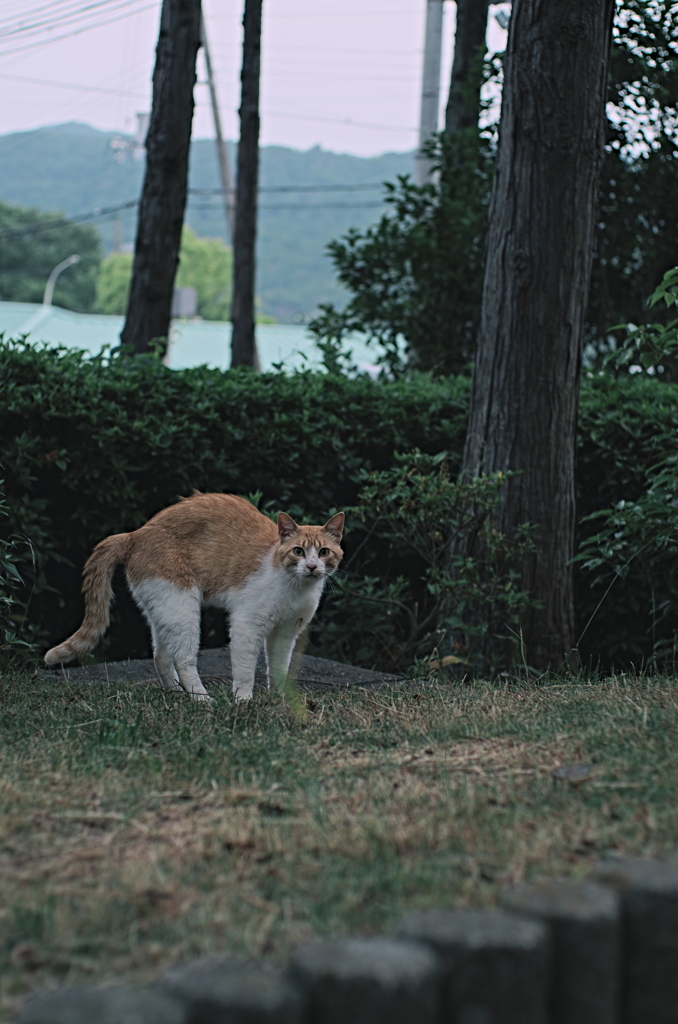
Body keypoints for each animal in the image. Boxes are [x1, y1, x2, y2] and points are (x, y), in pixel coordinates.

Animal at [43, 491, 346, 700]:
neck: (295, 588)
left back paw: (178, 695)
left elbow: (279, 667)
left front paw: (279, 698)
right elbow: (245, 668)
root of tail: (135, 534)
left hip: (165, 610)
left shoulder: (285, 633)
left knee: (161, 656)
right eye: (298, 551)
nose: (311, 566)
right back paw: (201, 699)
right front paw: (244, 700)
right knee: (184, 659)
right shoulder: (246, 625)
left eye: (323, 552)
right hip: (183, 609)